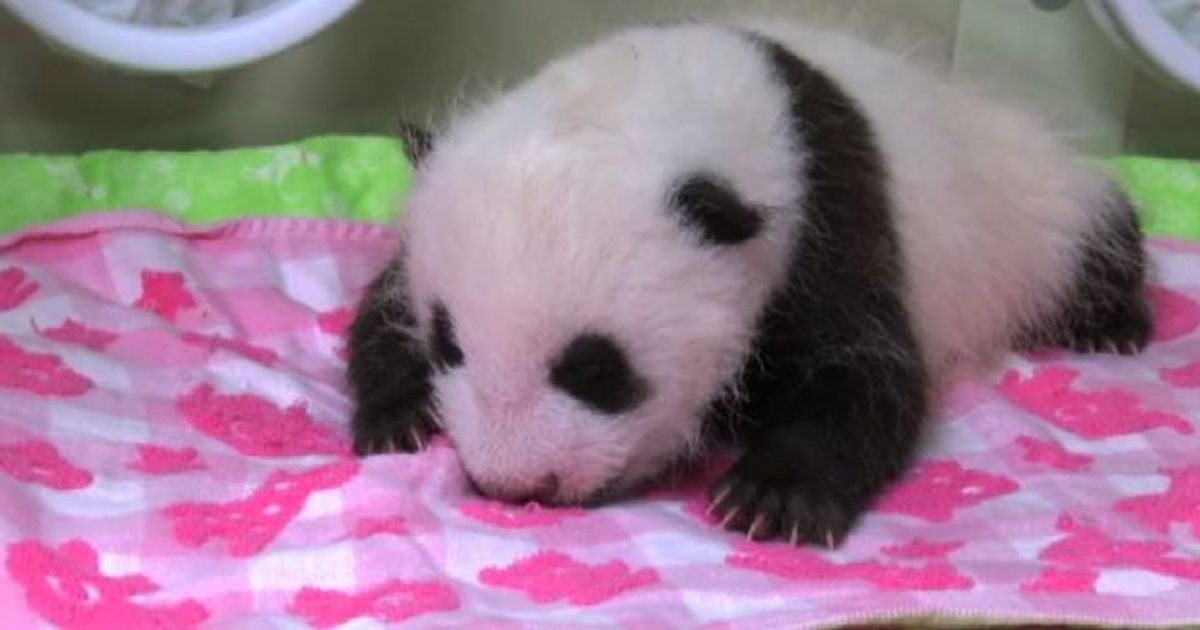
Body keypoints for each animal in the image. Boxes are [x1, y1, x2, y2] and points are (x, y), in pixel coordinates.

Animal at [345, 20, 1151, 547]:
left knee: (1098, 232)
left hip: (1031, 207)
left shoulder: (828, 217)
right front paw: (399, 416)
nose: (515, 485)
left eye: (595, 369)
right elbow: (380, 309)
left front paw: (772, 496)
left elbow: (868, 370)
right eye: (449, 344)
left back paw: (1113, 326)